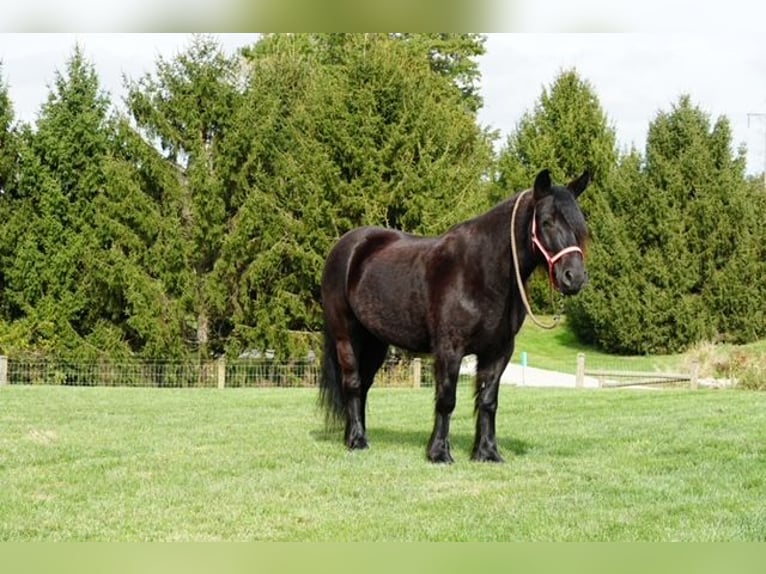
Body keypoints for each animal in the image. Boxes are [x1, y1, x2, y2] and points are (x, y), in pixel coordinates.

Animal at [319, 169, 590, 463]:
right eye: (546, 221)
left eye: (579, 223)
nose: (574, 277)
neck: (481, 272)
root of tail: (346, 247)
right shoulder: (450, 348)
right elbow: (447, 400)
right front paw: (439, 453)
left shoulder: (499, 351)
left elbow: (488, 401)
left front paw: (487, 452)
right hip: (346, 336)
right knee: (353, 383)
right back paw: (357, 440)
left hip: (376, 341)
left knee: (365, 385)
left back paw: (355, 437)